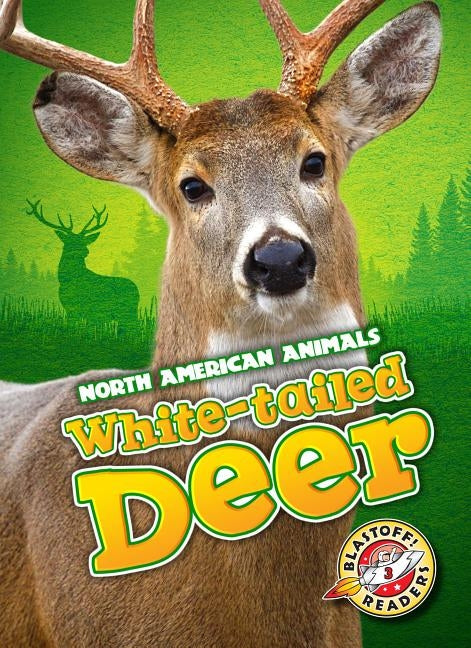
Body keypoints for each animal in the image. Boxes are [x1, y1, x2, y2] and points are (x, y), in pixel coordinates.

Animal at [26, 199, 140, 331]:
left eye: (84, 241)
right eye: (71, 241)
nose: (86, 251)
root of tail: (137, 291)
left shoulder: (89, 310)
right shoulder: (69, 309)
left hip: (128, 312)